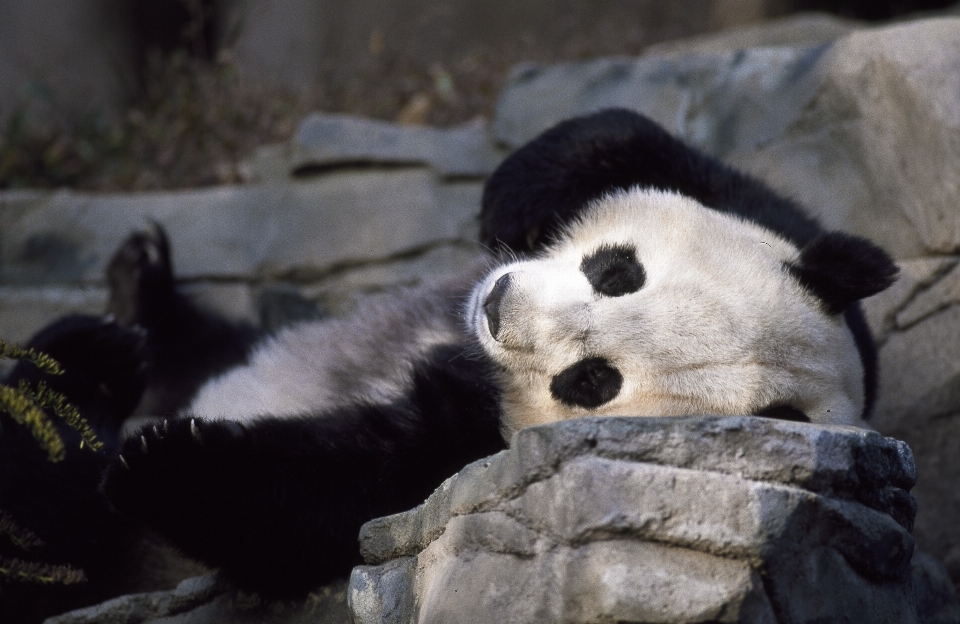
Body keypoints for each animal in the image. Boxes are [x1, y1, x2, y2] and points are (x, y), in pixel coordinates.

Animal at [3, 109, 896, 612]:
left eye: (592, 380)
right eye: (618, 272)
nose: (499, 305)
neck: (468, 354)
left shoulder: (462, 458)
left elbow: (335, 496)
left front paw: (161, 462)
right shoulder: (780, 223)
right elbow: (622, 145)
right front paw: (513, 204)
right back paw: (123, 309)